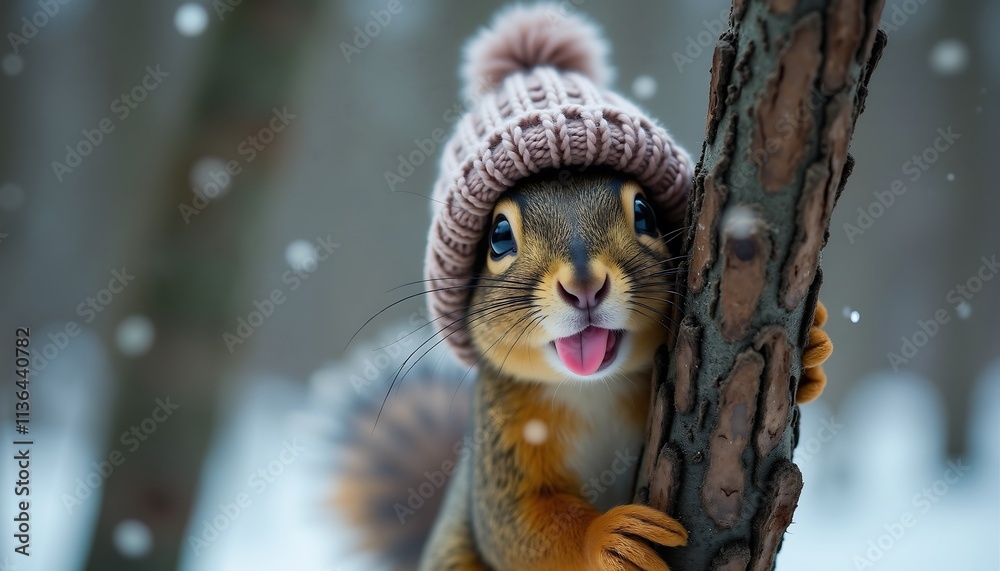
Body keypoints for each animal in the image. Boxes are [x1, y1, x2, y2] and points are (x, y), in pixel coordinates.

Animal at [325, 5, 833, 571]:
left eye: (644, 212)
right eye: (498, 236)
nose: (585, 285)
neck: (593, 391)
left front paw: (812, 347)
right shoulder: (501, 451)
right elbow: (517, 528)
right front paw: (608, 538)